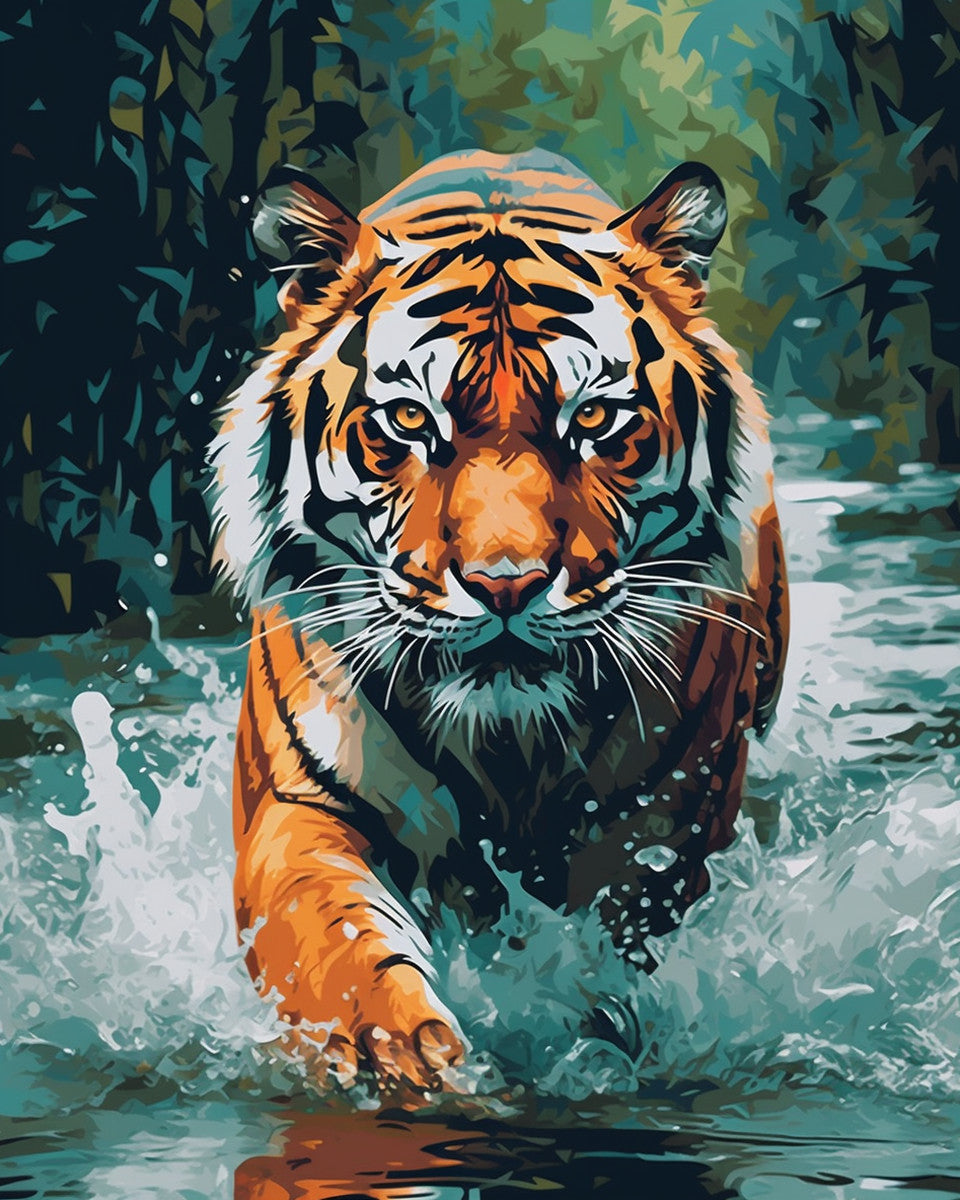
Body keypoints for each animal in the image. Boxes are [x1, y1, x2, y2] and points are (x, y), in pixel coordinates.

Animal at [208, 148, 789, 1096]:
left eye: (594, 418)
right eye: (411, 419)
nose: (505, 585)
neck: (508, 747)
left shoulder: (655, 834)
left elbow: (599, 961)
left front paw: (587, 1045)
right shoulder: (298, 806)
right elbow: (336, 936)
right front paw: (394, 1051)